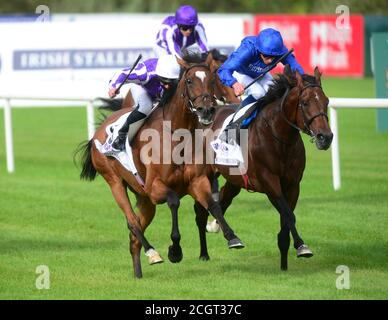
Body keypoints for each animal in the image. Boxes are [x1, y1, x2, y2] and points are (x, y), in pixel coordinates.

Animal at [76, 52, 242, 278]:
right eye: (189, 81)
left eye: (210, 80)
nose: (207, 110)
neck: (177, 135)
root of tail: (98, 132)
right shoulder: (155, 187)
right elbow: (174, 201)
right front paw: (175, 250)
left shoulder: (198, 181)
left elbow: (213, 206)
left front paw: (232, 237)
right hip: (115, 182)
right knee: (132, 222)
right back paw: (152, 252)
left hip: (145, 200)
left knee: (134, 236)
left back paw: (139, 272)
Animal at [199, 66, 332, 272]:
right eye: (305, 102)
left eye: (326, 101)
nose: (325, 137)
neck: (280, 137)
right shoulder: (269, 182)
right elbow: (289, 215)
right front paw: (302, 247)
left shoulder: (293, 185)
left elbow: (286, 219)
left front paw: (285, 264)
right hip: (202, 173)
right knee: (202, 210)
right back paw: (208, 251)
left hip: (234, 179)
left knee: (222, 199)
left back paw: (216, 229)